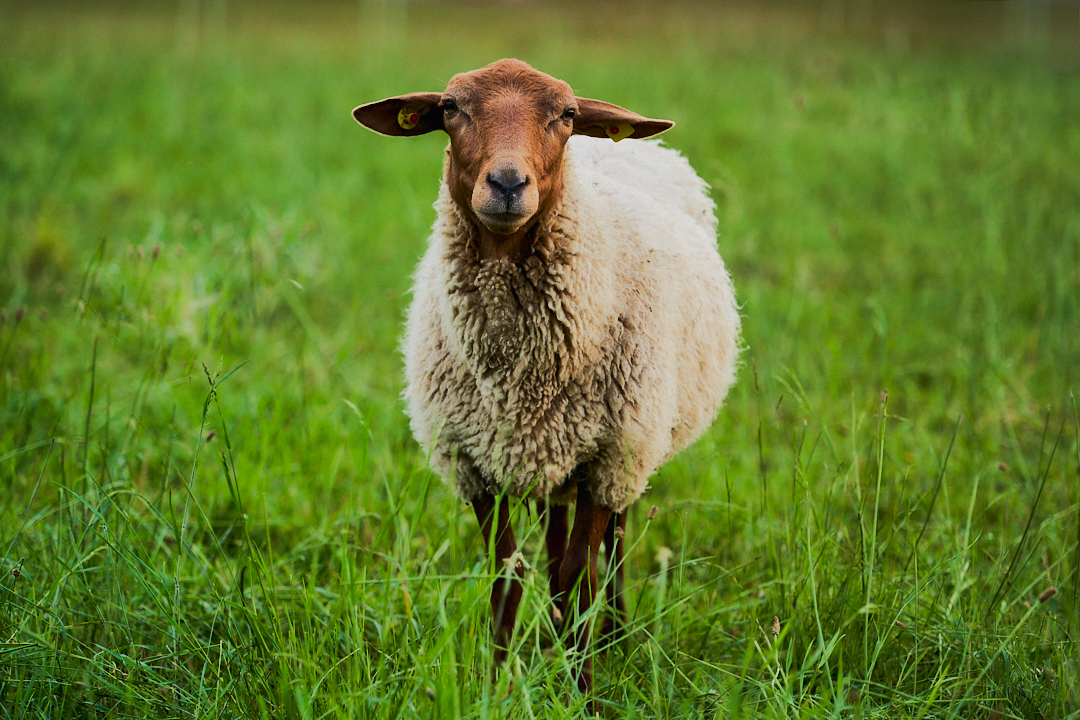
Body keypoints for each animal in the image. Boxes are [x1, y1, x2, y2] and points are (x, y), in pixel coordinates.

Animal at [354, 59, 743, 708]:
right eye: (451, 108)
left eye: (564, 114)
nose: (508, 184)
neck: (517, 366)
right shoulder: (474, 462)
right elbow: (508, 575)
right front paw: (496, 684)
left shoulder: (608, 456)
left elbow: (578, 575)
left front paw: (581, 692)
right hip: (547, 453)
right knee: (559, 539)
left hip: (625, 447)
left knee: (610, 543)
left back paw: (613, 635)